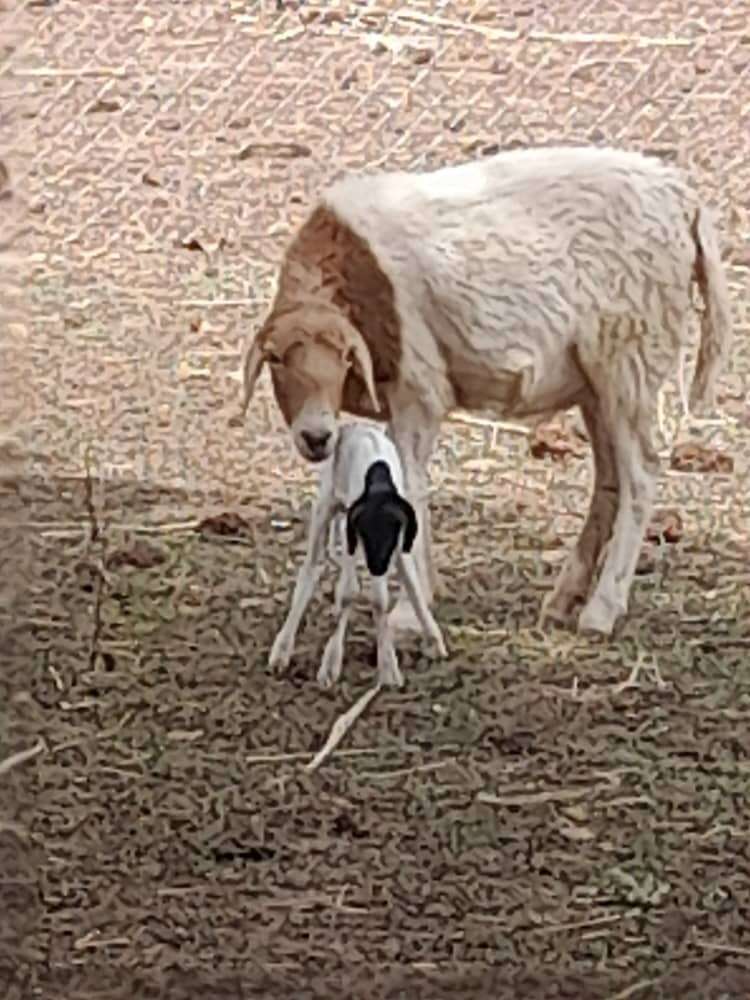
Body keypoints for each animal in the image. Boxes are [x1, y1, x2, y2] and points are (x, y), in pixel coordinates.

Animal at [241, 145, 736, 636]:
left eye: (347, 358)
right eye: (276, 359)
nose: (316, 436)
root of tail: (684, 200)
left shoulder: (419, 387)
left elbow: (410, 484)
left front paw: (410, 611)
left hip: (629, 350)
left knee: (641, 473)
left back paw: (602, 610)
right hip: (598, 379)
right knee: (610, 477)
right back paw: (564, 598)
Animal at [268, 420, 446, 688]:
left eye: (391, 536)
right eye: (366, 533)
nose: (378, 564)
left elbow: (396, 591)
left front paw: (397, 663)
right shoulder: (352, 532)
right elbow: (350, 592)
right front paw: (331, 665)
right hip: (326, 503)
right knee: (311, 569)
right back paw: (282, 651)